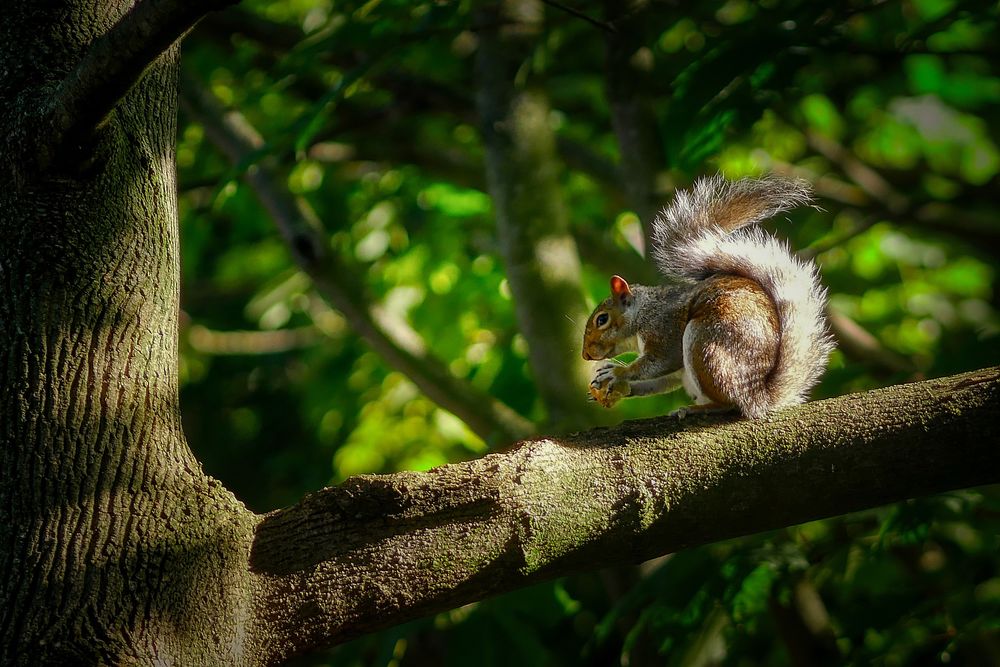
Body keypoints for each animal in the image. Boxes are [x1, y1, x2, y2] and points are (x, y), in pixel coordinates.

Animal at [582, 174, 835, 419]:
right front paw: (619, 385)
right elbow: (664, 380)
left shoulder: (664, 327)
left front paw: (618, 372)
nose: (585, 355)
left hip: (706, 345)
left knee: (730, 404)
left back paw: (697, 409)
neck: (643, 312)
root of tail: (757, 397)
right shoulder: (676, 370)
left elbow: (662, 360)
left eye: (602, 319)